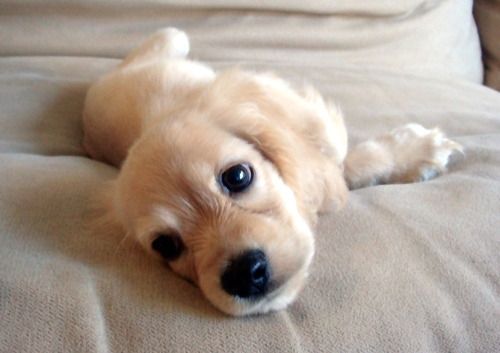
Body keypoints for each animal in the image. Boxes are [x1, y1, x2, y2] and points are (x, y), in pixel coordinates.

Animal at [82, 27, 460, 314]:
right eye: (165, 245)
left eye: (237, 176)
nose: (244, 275)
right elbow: (341, 171)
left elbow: (341, 164)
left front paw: (415, 151)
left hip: (175, 36)